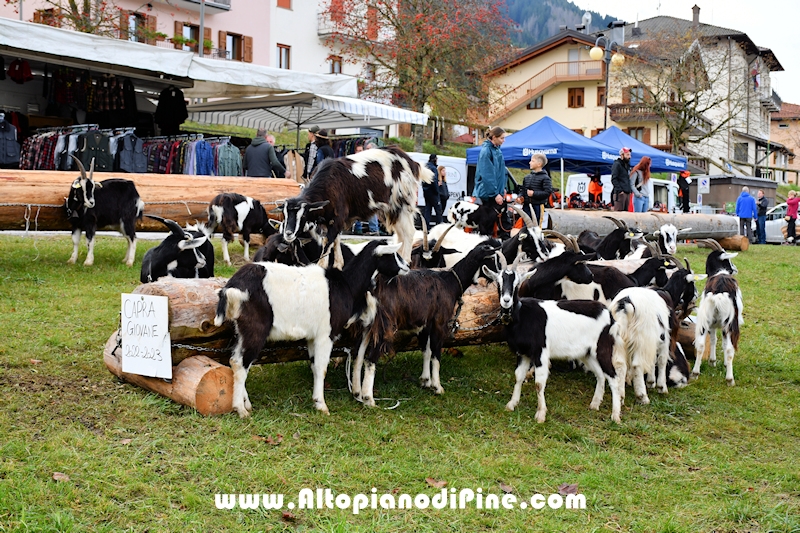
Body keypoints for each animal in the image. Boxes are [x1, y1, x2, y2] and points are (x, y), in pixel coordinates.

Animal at [212, 240, 410, 416]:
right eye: (393, 254)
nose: (407, 266)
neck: (345, 284)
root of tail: (233, 288)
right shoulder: (326, 334)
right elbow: (322, 368)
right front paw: (322, 405)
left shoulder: (312, 337)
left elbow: (315, 367)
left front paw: (316, 401)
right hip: (255, 330)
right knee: (241, 363)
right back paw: (240, 409)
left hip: (240, 331)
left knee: (235, 361)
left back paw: (246, 403)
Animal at [280, 145, 432, 268]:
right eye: (285, 214)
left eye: (303, 214)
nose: (288, 233)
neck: (329, 183)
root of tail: (412, 162)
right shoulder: (331, 220)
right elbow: (335, 240)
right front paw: (338, 264)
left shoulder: (337, 218)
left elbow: (328, 242)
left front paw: (322, 266)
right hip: (392, 210)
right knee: (401, 234)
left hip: (403, 204)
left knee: (409, 232)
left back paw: (405, 260)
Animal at [352, 238, 500, 404]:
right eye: (491, 258)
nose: (500, 275)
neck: (450, 282)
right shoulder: (440, 323)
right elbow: (436, 354)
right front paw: (437, 387)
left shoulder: (424, 325)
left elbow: (426, 351)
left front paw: (425, 381)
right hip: (384, 324)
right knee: (370, 359)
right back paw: (368, 399)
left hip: (366, 325)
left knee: (358, 356)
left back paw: (357, 392)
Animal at [484, 258, 628, 424]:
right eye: (498, 283)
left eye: (517, 284)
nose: (506, 301)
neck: (522, 314)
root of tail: (610, 316)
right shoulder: (523, 353)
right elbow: (518, 376)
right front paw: (512, 404)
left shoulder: (540, 353)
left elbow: (539, 384)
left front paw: (540, 414)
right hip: (587, 354)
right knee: (600, 375)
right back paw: (595, 404)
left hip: (602, 349)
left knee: (613, 377)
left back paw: (615, 416)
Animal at [688, 239, 744, 384]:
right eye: (728, 260)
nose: (735, 269)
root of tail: (718, 293)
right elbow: (722, 343)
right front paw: (719, 363)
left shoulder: (712, 324)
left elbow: (713, 339)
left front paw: (712, 361)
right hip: (729, 324)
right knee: (729, 349)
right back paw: (730, 379)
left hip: (705, 320)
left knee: (700, 345)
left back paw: (695, 373)